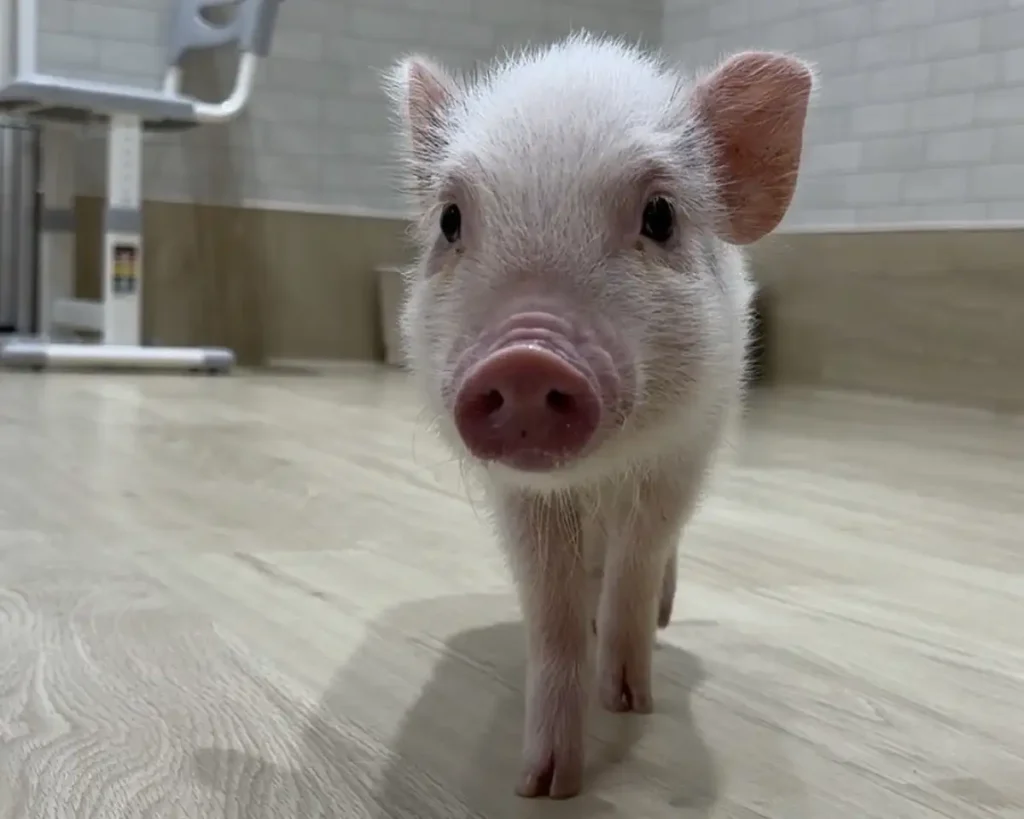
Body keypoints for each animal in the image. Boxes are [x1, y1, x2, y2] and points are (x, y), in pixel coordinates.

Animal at [385, 33, 814, 799]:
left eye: (660, 216)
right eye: (450, 220)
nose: (526, 359)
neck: (601, 470)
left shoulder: (683, 455)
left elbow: (639, 561)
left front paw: (628, 702)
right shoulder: (522, 495)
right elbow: (549, 607)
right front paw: (543, 785)